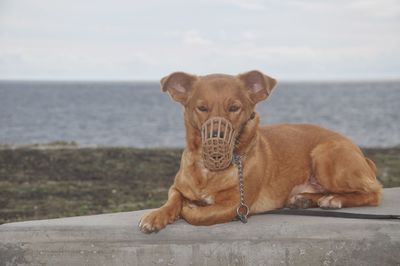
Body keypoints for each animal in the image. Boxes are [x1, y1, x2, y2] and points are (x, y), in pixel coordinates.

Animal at [138, 70, 382, 233]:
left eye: (234, 108)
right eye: (202, 108)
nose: (216, 135)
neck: (210, 171)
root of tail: (362, 156)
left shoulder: (236, 206)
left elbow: (201, 215)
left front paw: (188, 209)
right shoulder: (177, 187)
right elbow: (172, 200)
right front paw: (155, 216)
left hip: (325, 156)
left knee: (373, 193)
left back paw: (334, 199)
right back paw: (304, 200)